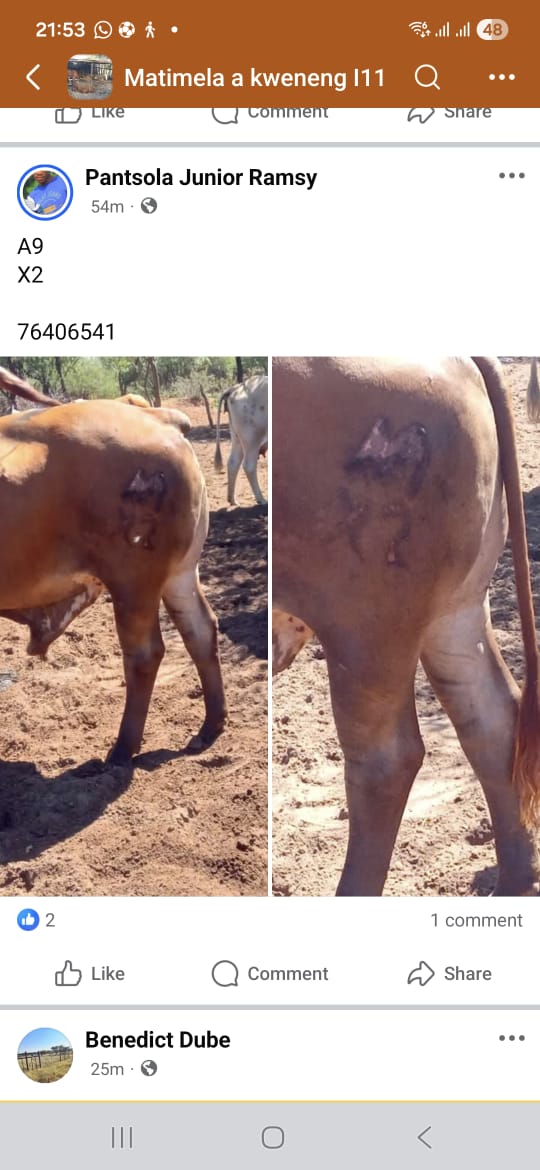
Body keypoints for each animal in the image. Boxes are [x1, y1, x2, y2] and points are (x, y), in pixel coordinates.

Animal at [0, 368, 226, 765]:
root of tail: (156, 416)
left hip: (133, 582)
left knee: (145, 654)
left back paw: (123, 748)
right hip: (181, 574)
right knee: (200, 631)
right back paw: (209, 726)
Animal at [214, 374, 268, 506]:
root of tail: (237, 387)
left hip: (237, 438)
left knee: (233, 463)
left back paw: (232, 499)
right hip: (252, 438)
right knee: (249, 466)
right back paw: (261, 499)